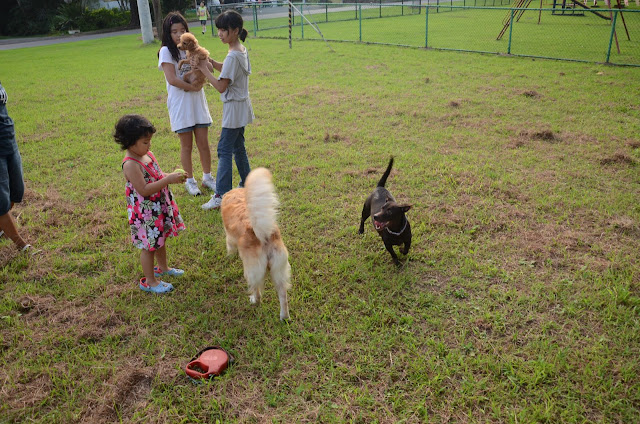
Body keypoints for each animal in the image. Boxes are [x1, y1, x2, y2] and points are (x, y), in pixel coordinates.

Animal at [220, 167, 290, 320]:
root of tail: (263, 235)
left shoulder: (229, 236)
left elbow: (229, 246)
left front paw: (229, 256)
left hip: (252, 270)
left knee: (256, 289)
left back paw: (254, 300)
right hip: (279, 268)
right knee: (283, 294)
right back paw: (284, 317)